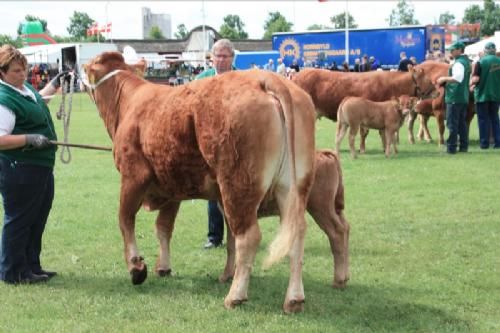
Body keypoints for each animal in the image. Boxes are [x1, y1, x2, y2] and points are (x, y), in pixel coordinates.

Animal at [83, 51, 314, 312]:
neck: (128, 102)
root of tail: (265, 78)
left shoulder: (133, 176)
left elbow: (125, 220)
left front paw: (136, 267)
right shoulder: (171, 186)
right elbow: (164, 228)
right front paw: (164, 267)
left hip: (238, 185)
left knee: (248, 236)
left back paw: (235, 295)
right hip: (292, 187)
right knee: (295, 232)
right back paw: (293, 298)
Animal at [219, 149, 352, 290]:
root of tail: (323, 153)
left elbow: (231, 246)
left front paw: (226, 275)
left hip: (321, 207)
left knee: (337, 232)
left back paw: (338, 281)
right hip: (334, 209)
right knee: (346, 227)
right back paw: (346, 276)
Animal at [292, 61, 450, 150]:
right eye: (428, 80)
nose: (438, 91)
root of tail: (296, 75)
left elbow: (382, 132)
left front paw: (384, 146)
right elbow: (365, 133)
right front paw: (362, 149)